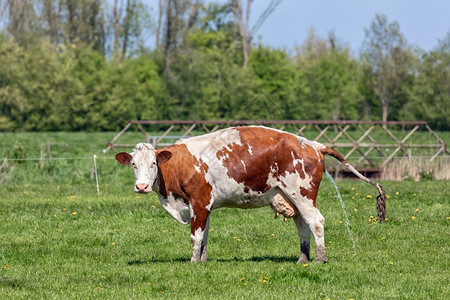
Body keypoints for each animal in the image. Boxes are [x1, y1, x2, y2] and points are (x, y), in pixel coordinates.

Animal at [114, 125, 384, 264]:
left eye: (153, 164)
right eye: (134, 165)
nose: (141, 187)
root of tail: (313, 144)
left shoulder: (199, 203)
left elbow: (196, 236)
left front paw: (193, 262)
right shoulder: (204, 206)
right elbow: (205, 236)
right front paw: (202, 261)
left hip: (302, 194)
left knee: (316, 222)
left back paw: (319, 259)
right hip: (291, 197)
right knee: (302, 225)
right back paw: (302, 258)